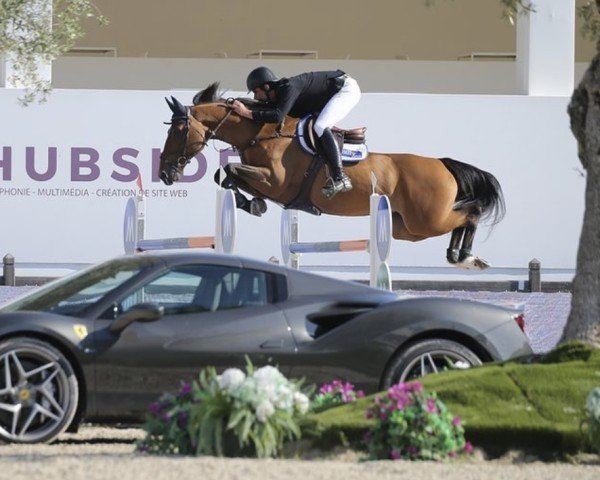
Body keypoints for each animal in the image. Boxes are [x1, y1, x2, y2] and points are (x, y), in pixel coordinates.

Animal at [157, 83, 504, 270]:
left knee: (470, 213)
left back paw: (466, 257)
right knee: (458, 219)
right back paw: (460, 256)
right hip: (407, 227)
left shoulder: (276, 181)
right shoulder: (265, 181)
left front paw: (252, 203)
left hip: (426, 219)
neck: (261, 132)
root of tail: (442, 164)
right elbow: (225, 175)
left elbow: (227, 170)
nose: (165, 173)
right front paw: (252, 203)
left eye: (178, 131)